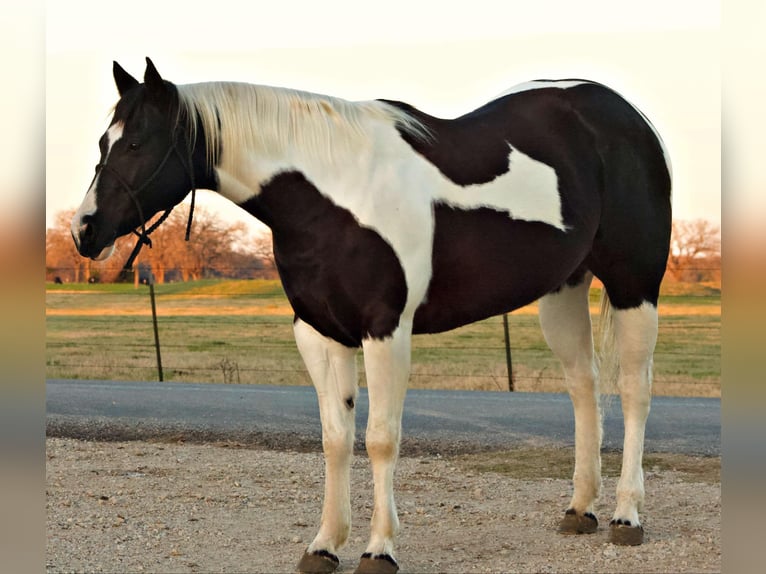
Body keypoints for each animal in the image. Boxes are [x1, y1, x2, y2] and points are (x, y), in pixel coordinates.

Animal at [71, 58, 671, 574]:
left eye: (139, 143)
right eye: (103, 142)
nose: (84, 231)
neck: (334, 195)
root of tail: (623, 114)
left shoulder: (386, 331)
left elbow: (382, 438)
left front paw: (379, 548)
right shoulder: (320, 333)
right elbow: (336, 438)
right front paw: (324, 544)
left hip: (635, 287)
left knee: (634, 391)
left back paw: (626, 516)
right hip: (563, 290)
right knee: (584, 387)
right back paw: (580, 509)